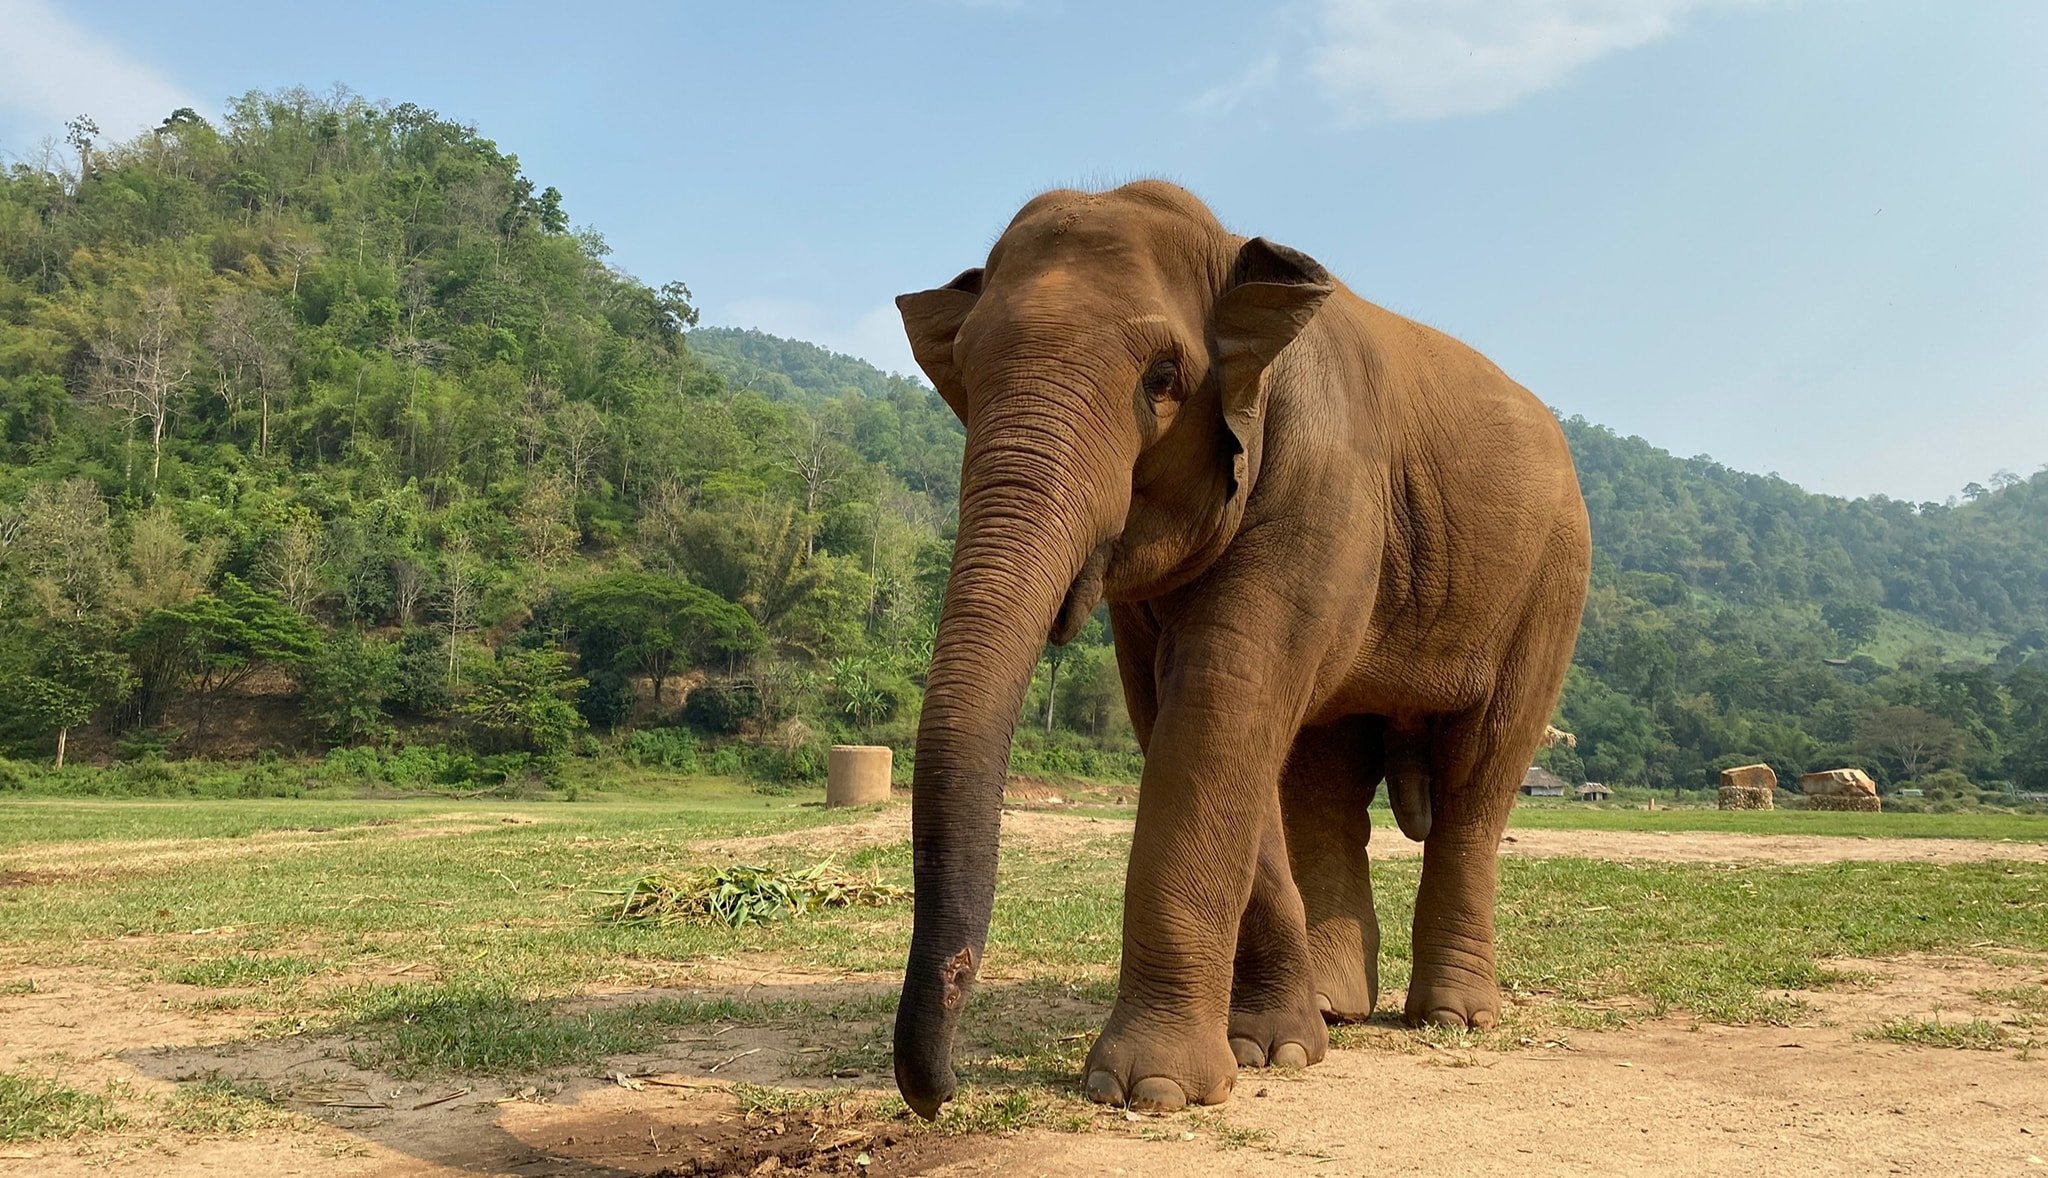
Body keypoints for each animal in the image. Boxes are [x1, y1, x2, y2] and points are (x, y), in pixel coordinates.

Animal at [888, 180, 1589, 1122]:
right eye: (962, 373)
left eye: (1163, 379)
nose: (941, 1093)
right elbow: (1188, 716)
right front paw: (1276, 1050)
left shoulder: (1321, 484)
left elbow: (1223, 697)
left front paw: (1149, 1091)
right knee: (1325, 777)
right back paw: (1336, 1007)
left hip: (1551, 584)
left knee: (1480, 776)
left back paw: (1453, 1018)